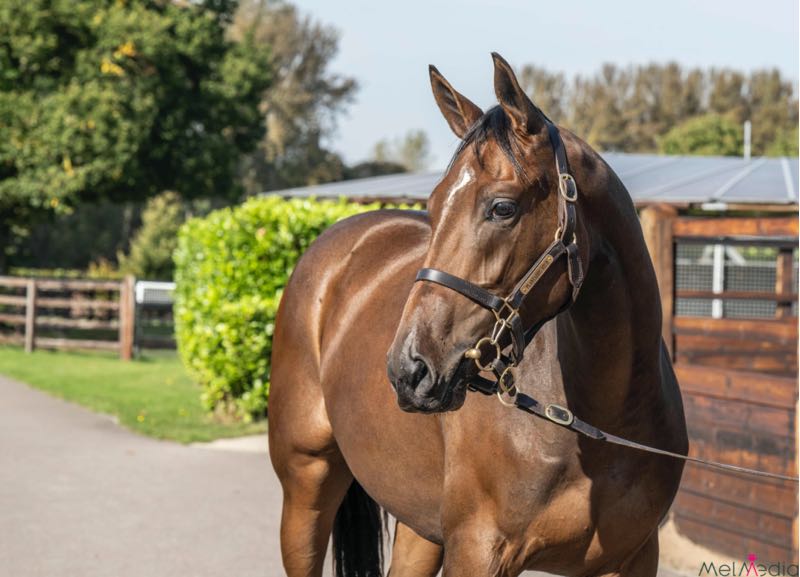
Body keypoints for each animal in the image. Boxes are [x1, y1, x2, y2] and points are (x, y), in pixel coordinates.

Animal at [268, 53, 688, 577]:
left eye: (502, 208)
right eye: (432, 205)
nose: (408, 370)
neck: (601, 425)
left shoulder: (633, 556)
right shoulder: (478, 549)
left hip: (421, 527)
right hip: (306, 486)